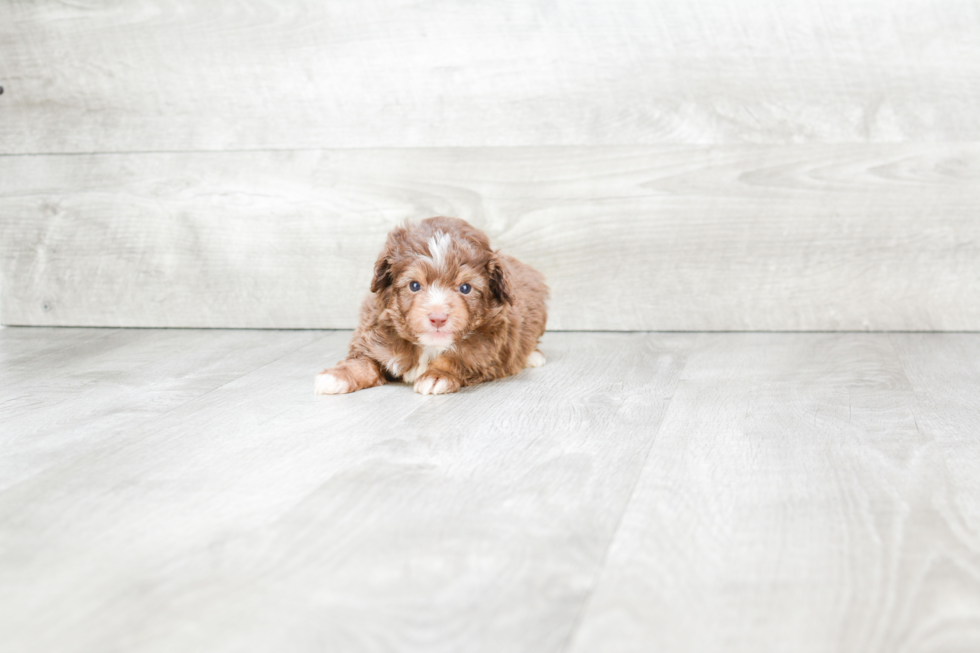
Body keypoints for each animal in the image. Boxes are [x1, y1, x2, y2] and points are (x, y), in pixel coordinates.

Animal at [316, 216, 548, 394]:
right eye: (414, 285)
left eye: (465, 288)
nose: (438, 318)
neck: (429, 346)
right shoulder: (375, 337)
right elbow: (363, 361)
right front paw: (337, 376)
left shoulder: (486, 345)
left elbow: (457, 356)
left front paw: (437, 375)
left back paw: (533, 356)